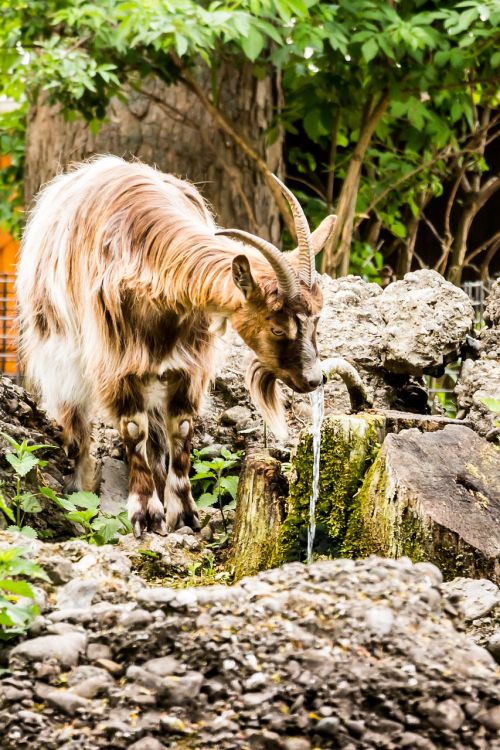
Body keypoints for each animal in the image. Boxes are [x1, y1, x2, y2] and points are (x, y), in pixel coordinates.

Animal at [16, 156, 336, 536]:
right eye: (276, 327)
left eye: (317, 320)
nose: (313, 380)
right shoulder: (118, 363)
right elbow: (132, 428)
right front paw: (144, 514)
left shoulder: (187, 367)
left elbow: (181, 429)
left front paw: (183, 514)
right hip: (60, 346)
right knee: (76, 417)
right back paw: (81, 487)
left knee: (156, 433)